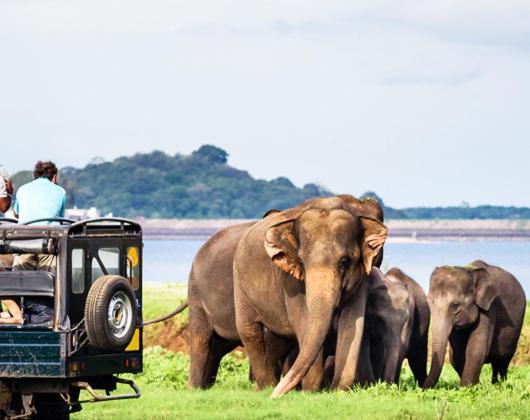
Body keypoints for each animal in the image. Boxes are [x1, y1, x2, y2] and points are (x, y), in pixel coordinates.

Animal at [233, 195, 386, 396]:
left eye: (344, 262)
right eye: (301, 261)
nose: (275, 398)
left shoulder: (361, 278)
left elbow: (352, 322)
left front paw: (338, 391)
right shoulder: (290, 281)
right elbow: (304, 322)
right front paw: (311, 392)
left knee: (276, 340)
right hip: (240, 283)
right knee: (249, 330)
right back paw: (266, 388)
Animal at [420, 260, 524, 388]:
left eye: (455, 306)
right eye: (429, 304)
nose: (421, 388)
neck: (469, 271)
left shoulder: (489, 307)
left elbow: (477, 348)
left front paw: (468, 388)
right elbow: (457, 354)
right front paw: (474, 386)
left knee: (503, 361)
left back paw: (499, 384)